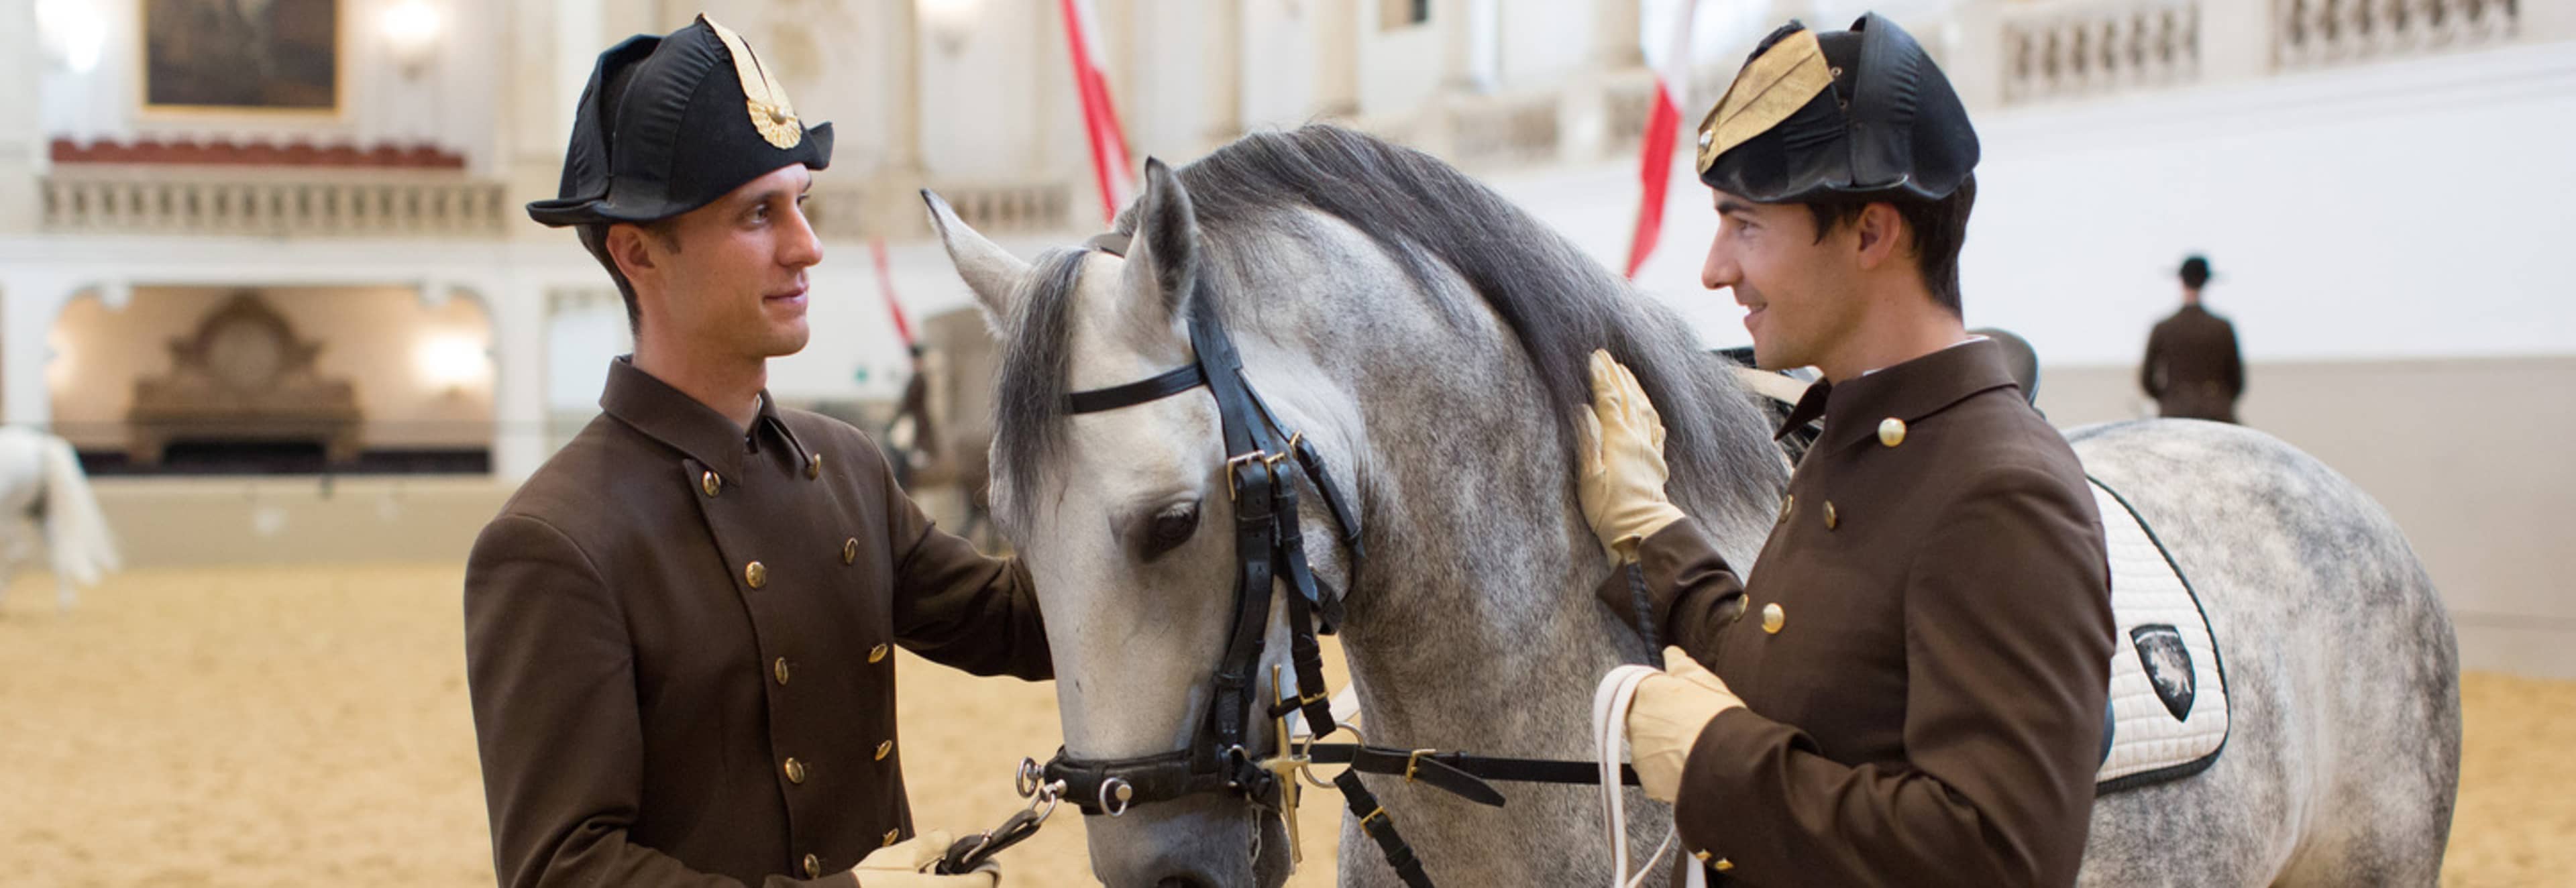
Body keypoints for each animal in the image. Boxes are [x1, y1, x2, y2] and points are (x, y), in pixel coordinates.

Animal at [0, 425, 123, 607]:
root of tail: (39, 445)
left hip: (8, 515)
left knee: (20, 554)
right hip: (42, 514)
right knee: (58, 553)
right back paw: (65, 603)